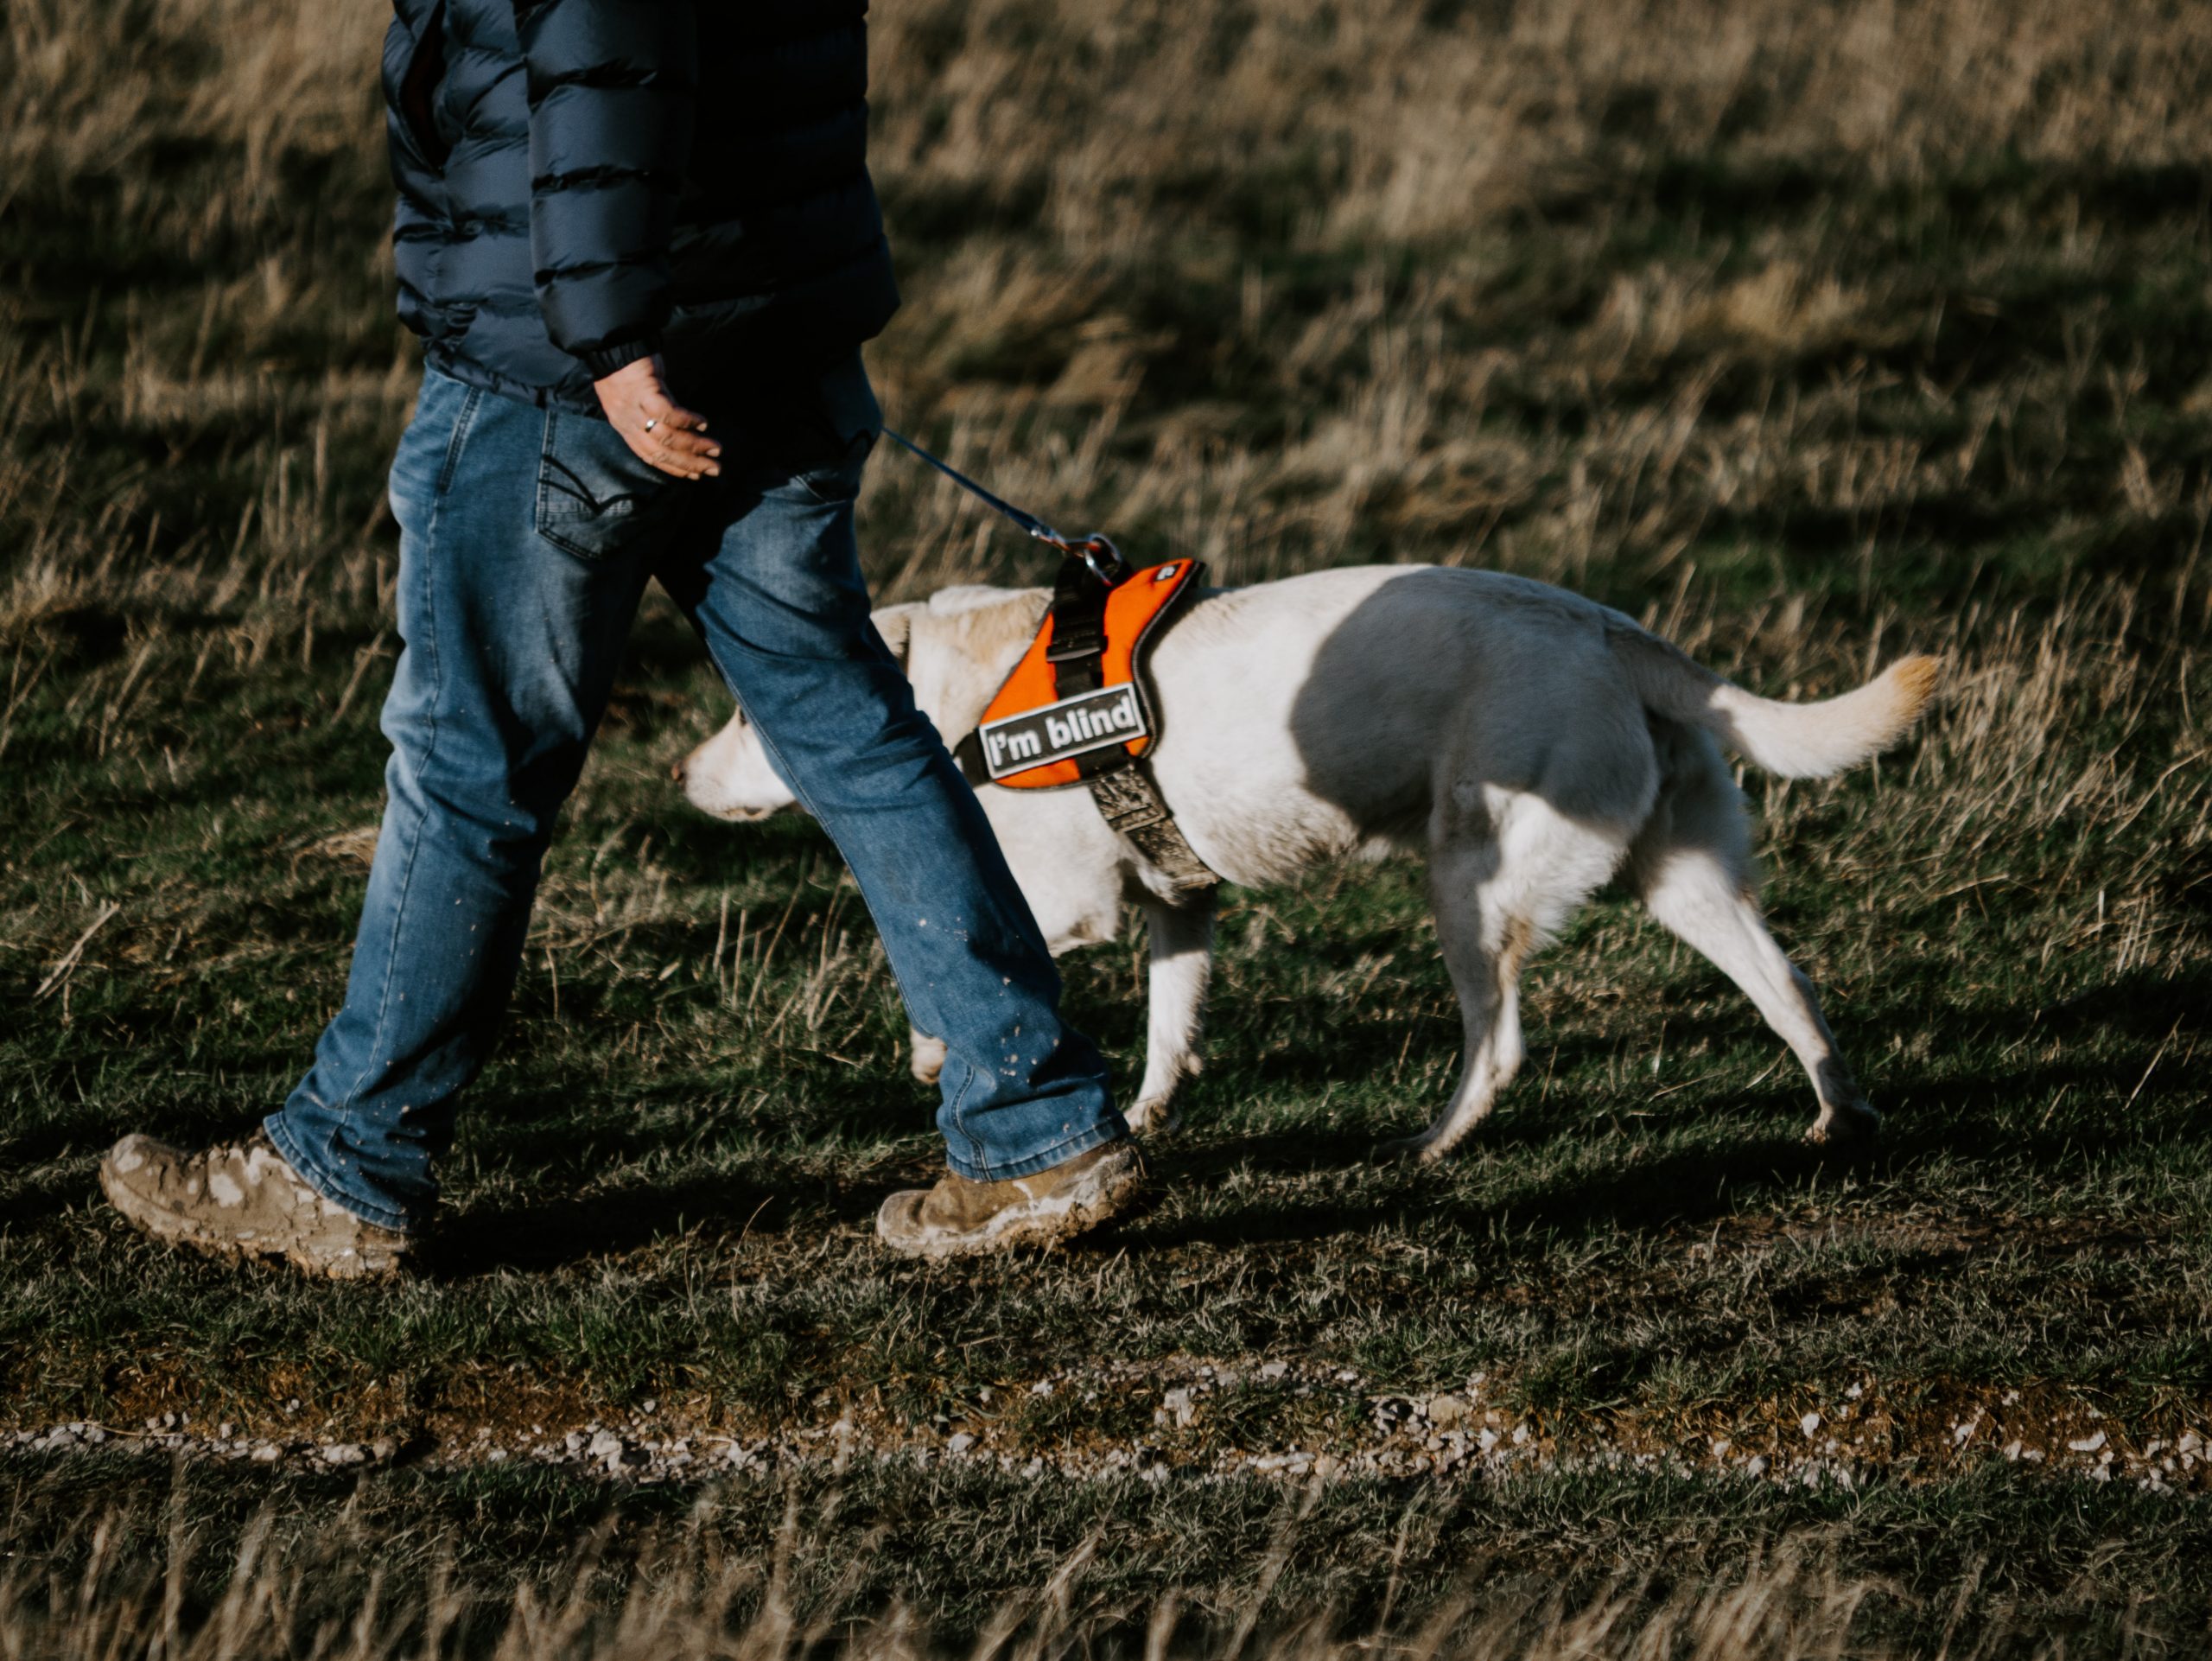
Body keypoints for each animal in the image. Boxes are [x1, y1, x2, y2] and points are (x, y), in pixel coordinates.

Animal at [677, 566, 1937, 1159]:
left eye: (744, 712)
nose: (680, 775)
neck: (953, 694)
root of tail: (1614, 629)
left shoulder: (1061, 899)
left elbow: (940, 955)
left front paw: (937, 1049)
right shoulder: (1178, 904)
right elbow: (1168, 1028)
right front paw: (1144, 1114)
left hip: (1471, 880)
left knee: (1499, 1041)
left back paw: (1433, 1141)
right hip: (1683, 877)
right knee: (1791, 986)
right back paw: (1840, 1114)